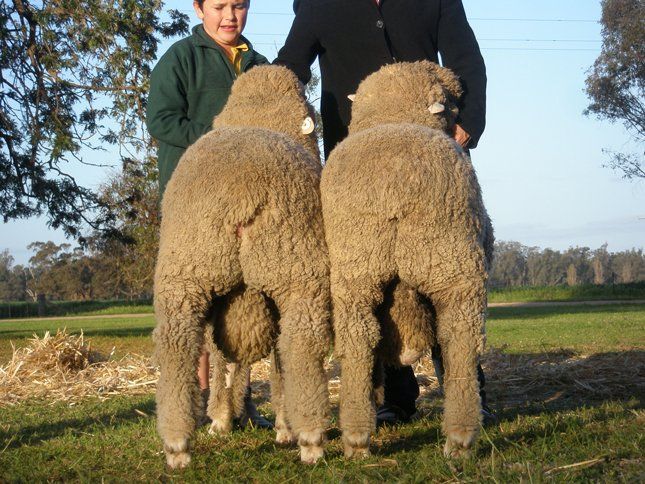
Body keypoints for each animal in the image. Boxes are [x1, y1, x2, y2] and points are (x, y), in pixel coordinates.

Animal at [153, 65, 331, 468]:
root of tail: (241, 192)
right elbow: (265, 362)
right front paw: (275, 425)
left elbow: (226, 358)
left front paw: (223, 417)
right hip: (296, 271)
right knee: (299, 344)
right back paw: (309, 437)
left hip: (187, 270)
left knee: (178, 345)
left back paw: (176, 443)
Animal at [320, 60, 494, 459]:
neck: (393, 115)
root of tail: (394, 187)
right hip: (454, 265)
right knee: (458, 339)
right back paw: (461, 435)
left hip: (356, 268)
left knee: (359, 340)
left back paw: (357, 435)